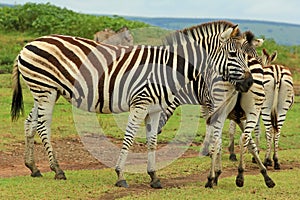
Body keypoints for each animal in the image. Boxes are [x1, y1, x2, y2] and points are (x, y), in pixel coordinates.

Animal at [10, 21, 252, 188]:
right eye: (233, 53)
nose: (249, 82)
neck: (168, 72)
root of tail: (27, 46)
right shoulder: (140, 103)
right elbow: (128, 139)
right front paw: (120, 175)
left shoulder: (155, 109)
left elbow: (152, 142)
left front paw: (154, 177)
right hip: (45, 89)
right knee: (43, 127)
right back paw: (57, 170)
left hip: (44, 91)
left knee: (30, 123)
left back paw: (33, 168)